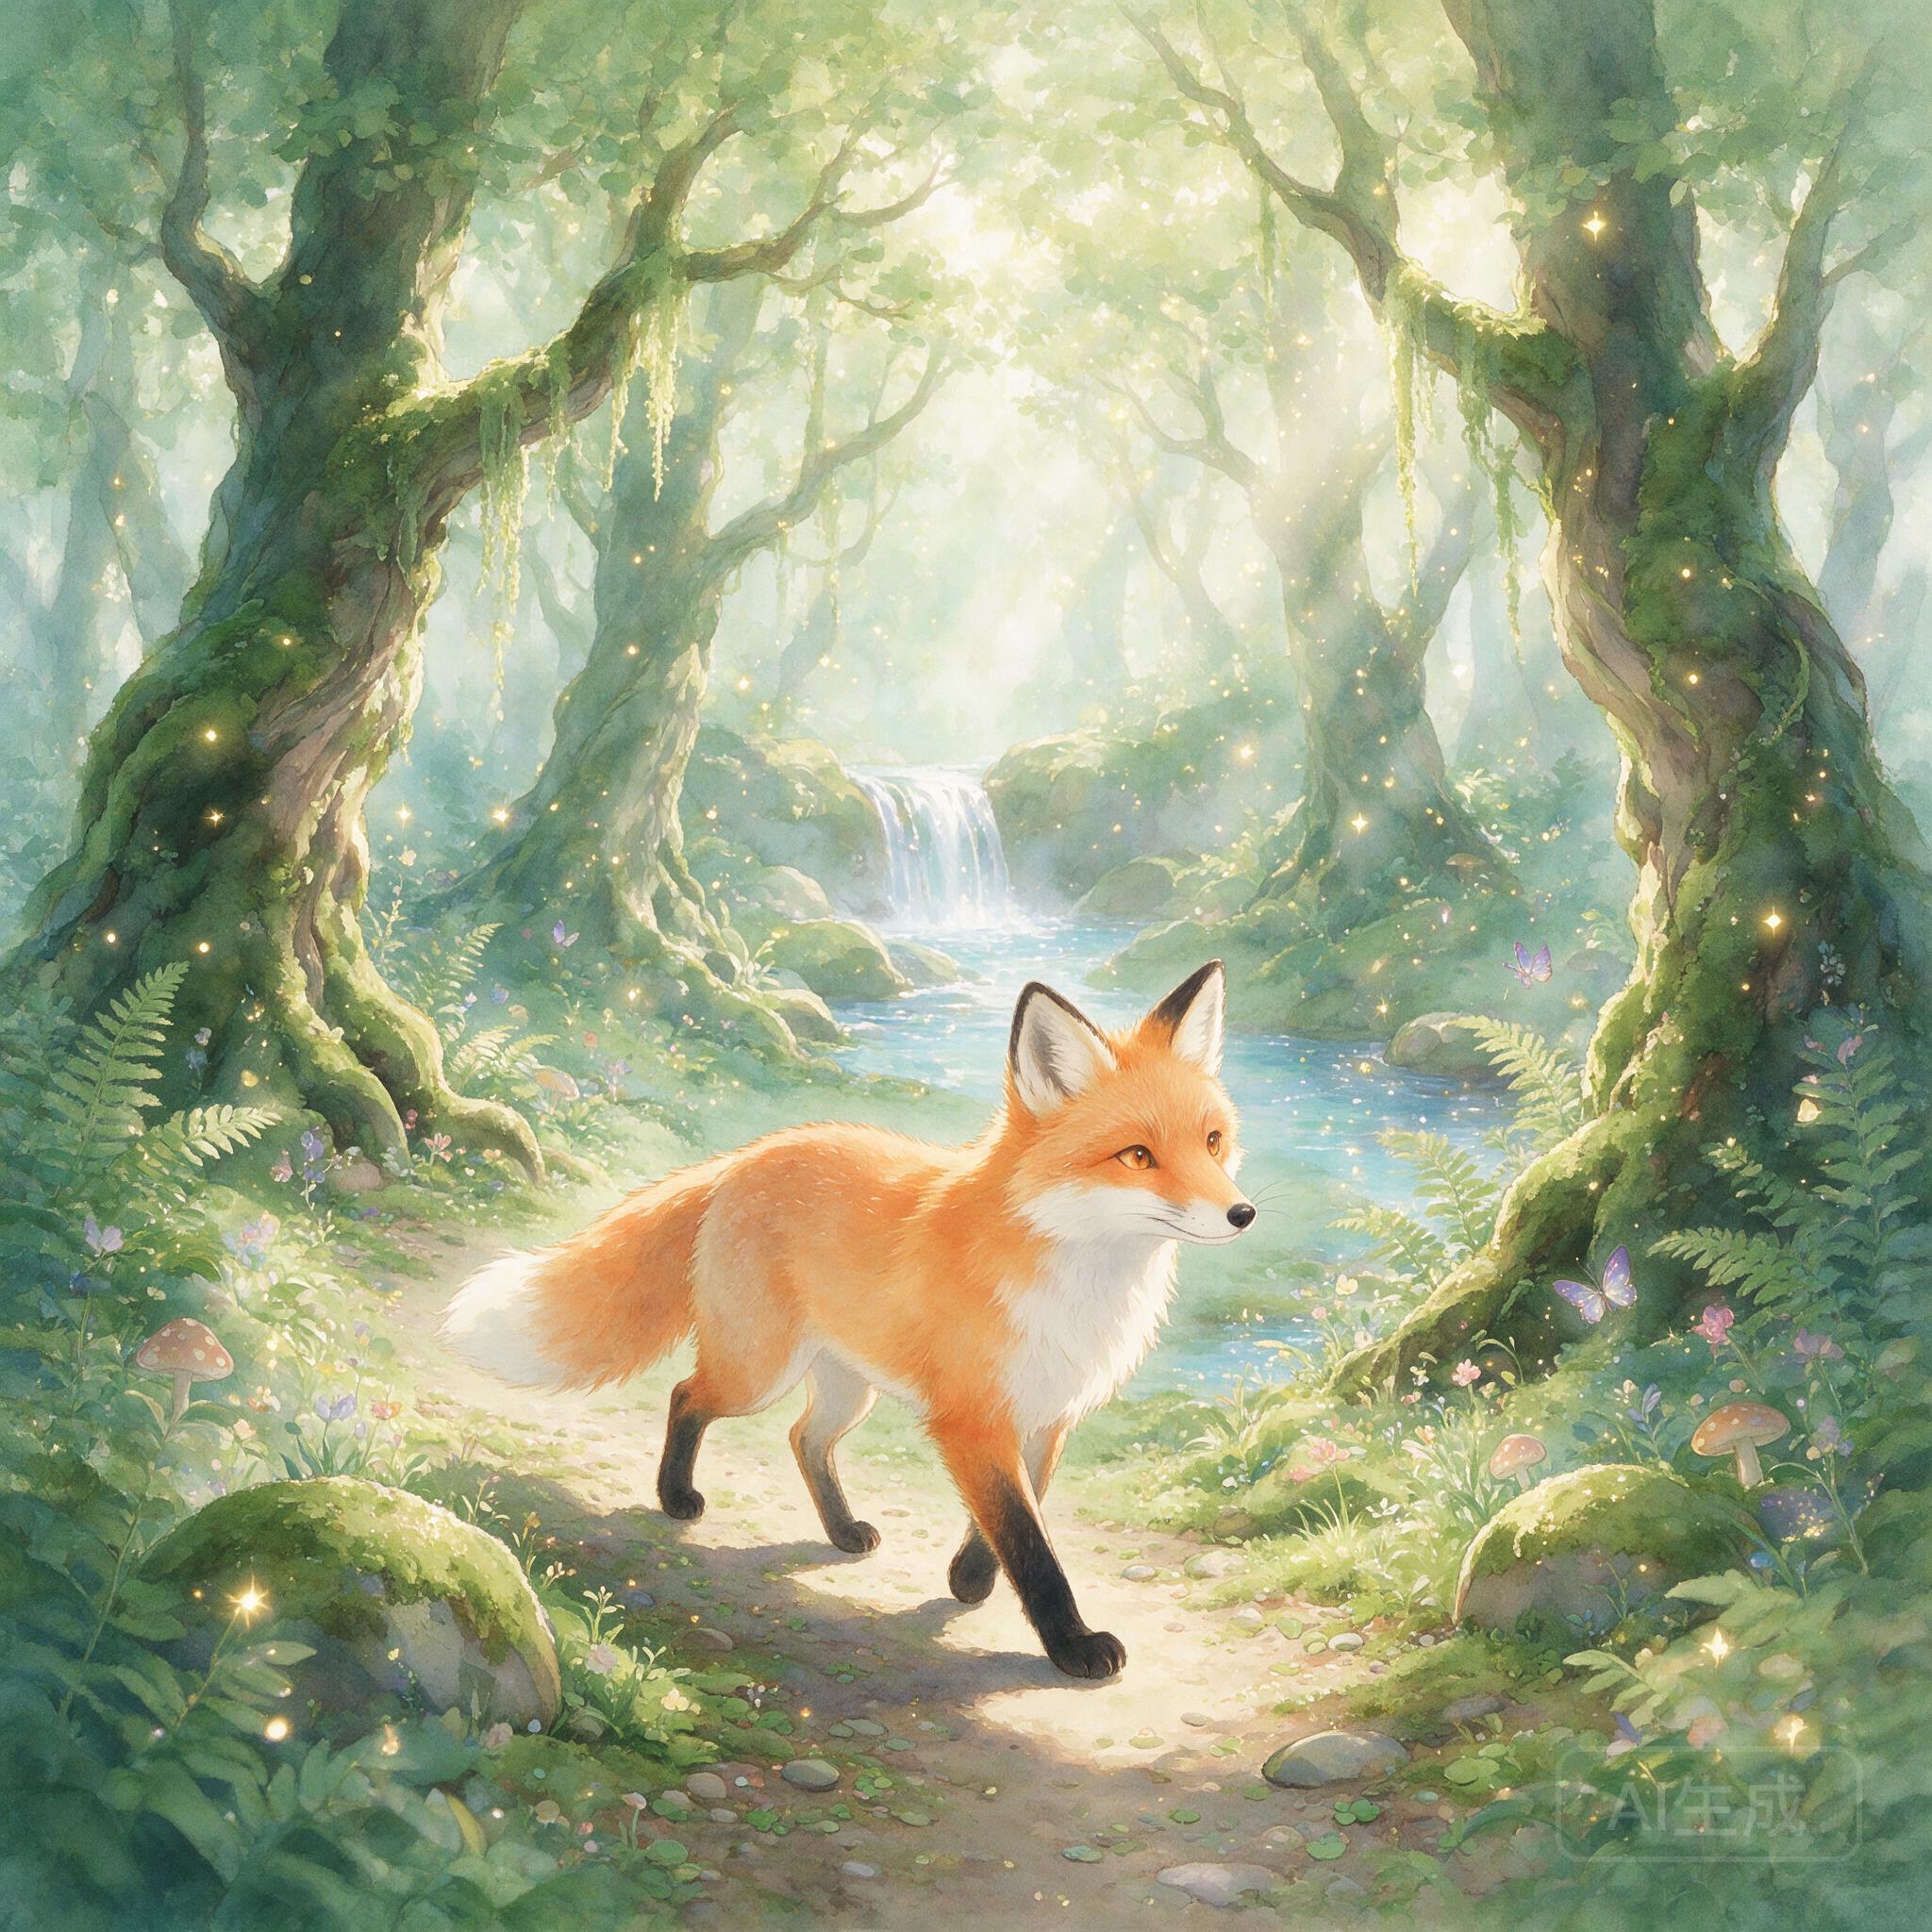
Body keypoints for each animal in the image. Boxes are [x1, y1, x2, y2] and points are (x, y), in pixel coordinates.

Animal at [441, 959, 1253, 1680]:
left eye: (1212, 1142)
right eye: (1137, 1156)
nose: (1243, 1214)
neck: (1078, 1282)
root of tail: (744, 1158)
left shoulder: (1044, 1417)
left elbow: (1014, 1520)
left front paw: (969, 1581)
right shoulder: (972, 1418)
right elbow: (1031, 1546)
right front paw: (1072, 1646)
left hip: (846, 1387)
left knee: (804, 1439)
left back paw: (839, 1532)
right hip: (757, 1372)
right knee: (686, 1396)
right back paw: (676, 1500)